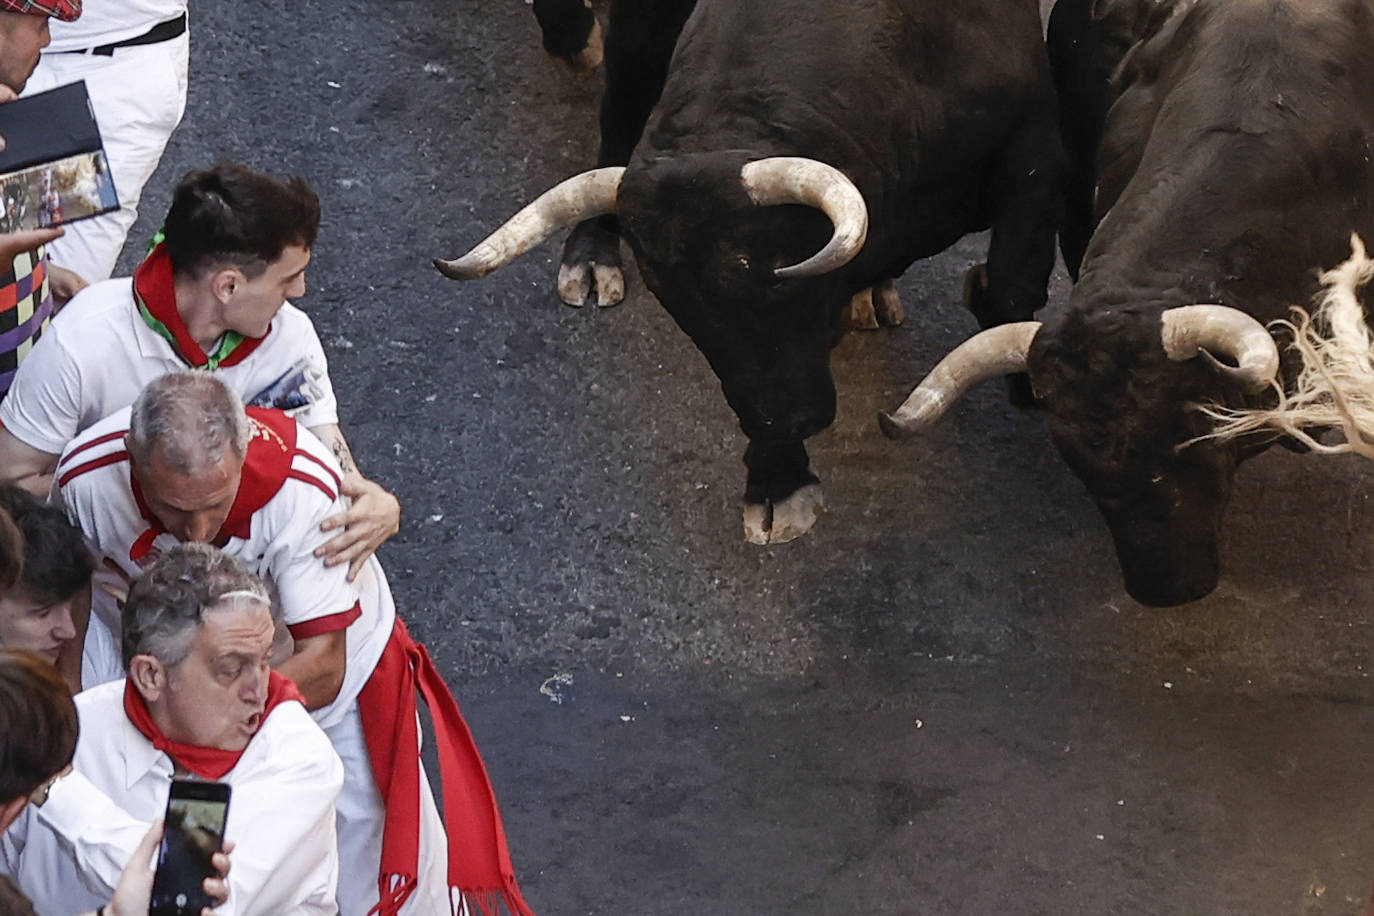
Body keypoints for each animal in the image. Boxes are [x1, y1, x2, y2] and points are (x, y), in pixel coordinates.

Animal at [439, 0, 1060, 543]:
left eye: (780, 273)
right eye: (677, 305)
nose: (788, 419)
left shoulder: (1034, 155)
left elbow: (1011, 287)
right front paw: (778, 480)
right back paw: (591, 250)